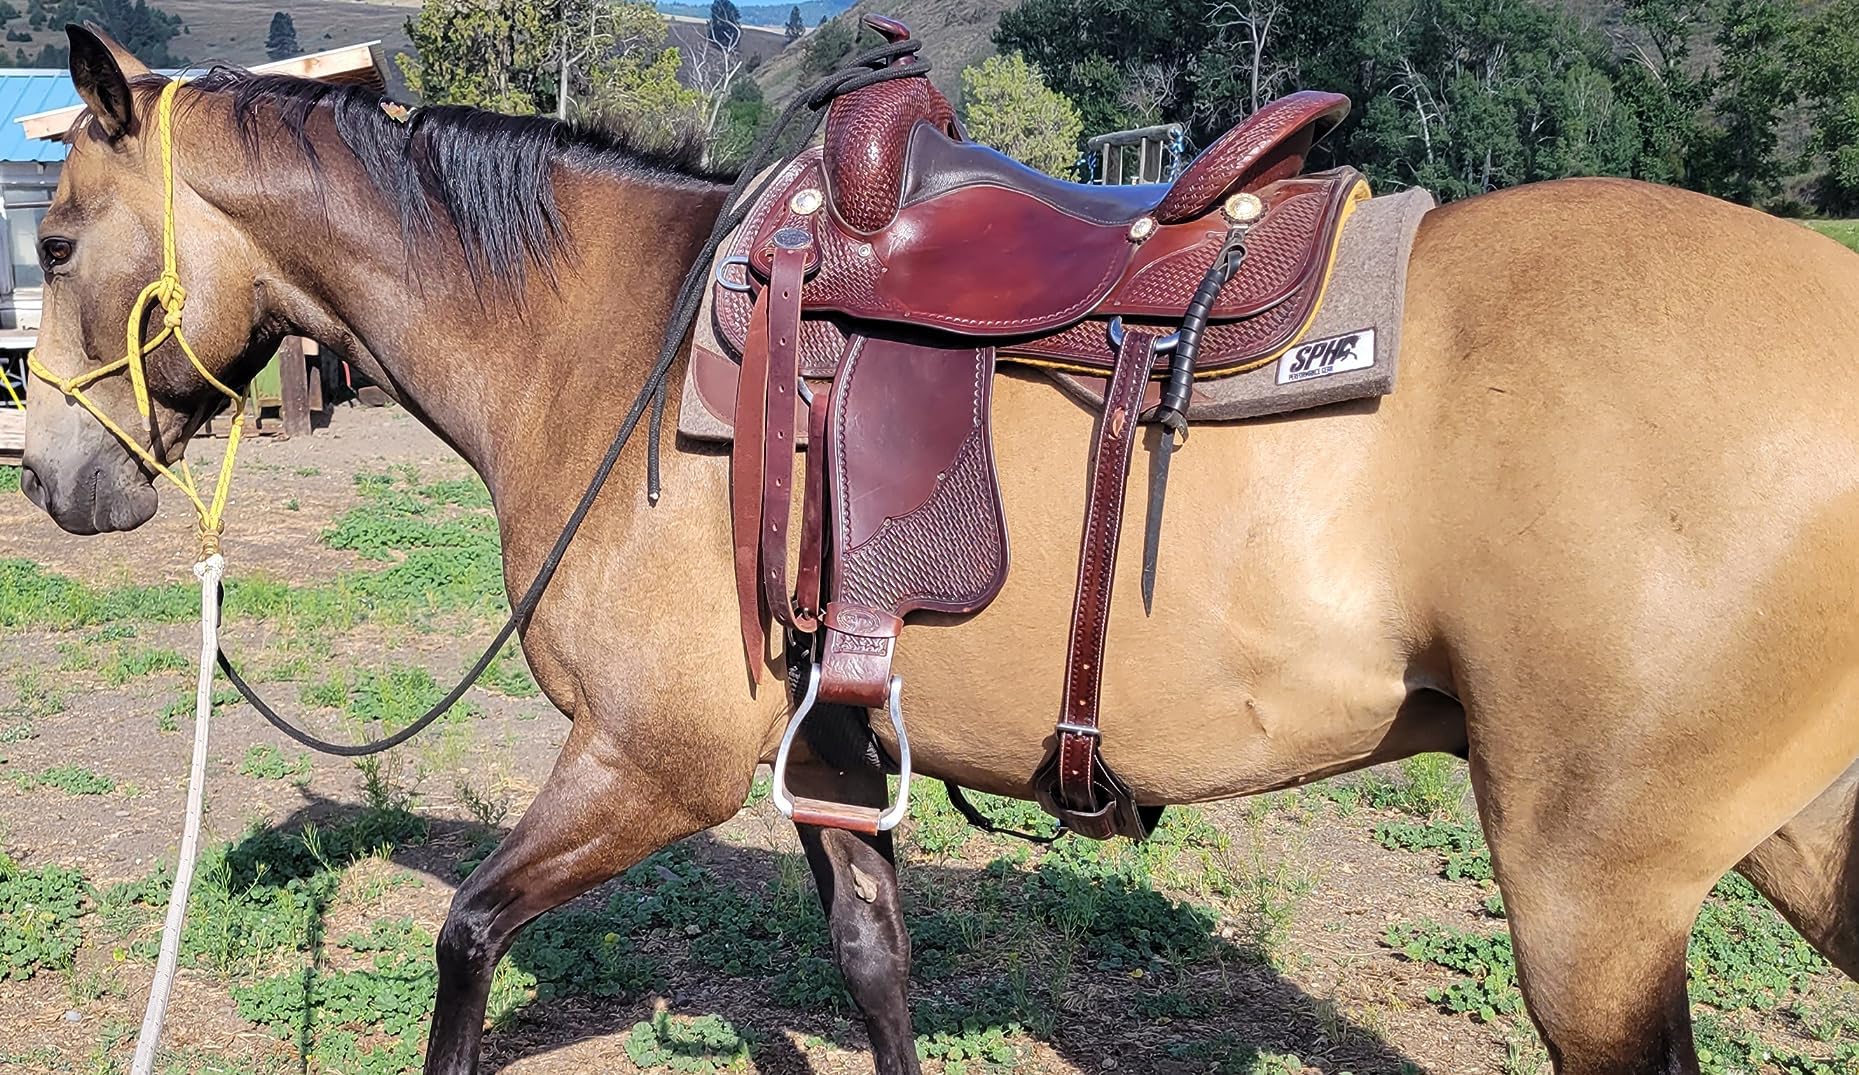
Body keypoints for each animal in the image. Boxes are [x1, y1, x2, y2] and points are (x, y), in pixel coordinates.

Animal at [22, 25, 1859, 1075]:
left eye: (47, 239)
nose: (53, 476)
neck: (609, 340)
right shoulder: (830, 749)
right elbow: (871, 968)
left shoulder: (653, 756)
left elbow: (466, 938)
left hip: (1590, 896)